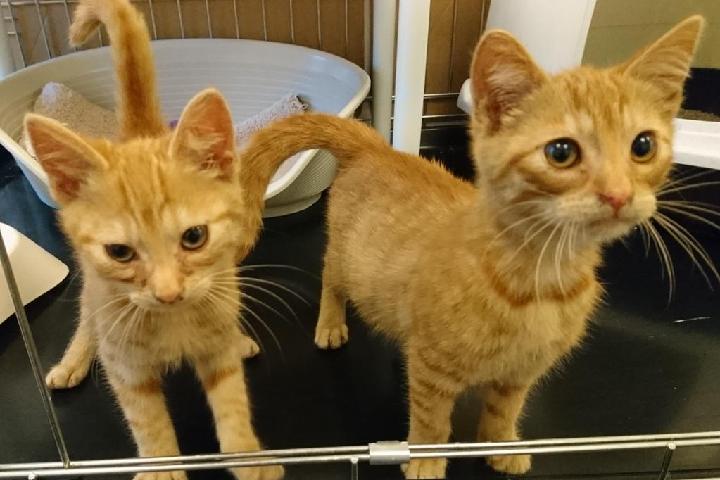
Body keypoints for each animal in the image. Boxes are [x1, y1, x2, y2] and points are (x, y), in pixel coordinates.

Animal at [24, 1, 282, 479]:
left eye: (194, 237)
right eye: (120, 252)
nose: (168, 293)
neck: (172, 322)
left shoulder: (217, 349)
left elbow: (232, 405)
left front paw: (249, 459)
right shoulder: (127, 368)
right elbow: (148, 424)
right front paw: (162, 468)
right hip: (94, 289)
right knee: (87, 315)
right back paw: (73, 361)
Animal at [238, 16, 704, 479]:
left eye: (643, 146)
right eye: (561, 152)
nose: (619, 194)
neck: (538, 280)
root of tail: (376, 146)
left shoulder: (521, 373)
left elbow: (504, 410)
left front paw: (500, 446)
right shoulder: (430, 368)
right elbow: (430, 422)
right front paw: (425, 463)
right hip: (347, 260)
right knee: (330, 277)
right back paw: (331, 325)